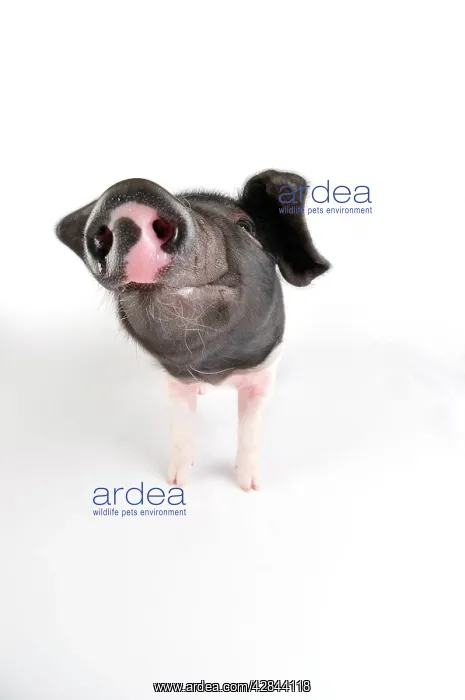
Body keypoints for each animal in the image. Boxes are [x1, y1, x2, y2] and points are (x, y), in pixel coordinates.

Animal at [56, 170, 330, 490]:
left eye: (246, 226)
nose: (130, 191)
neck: (214, 369)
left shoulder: (263, 372)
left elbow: (250, 427)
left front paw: (249, 487)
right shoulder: (174, 382)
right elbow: (181, 430)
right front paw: (177, 483)